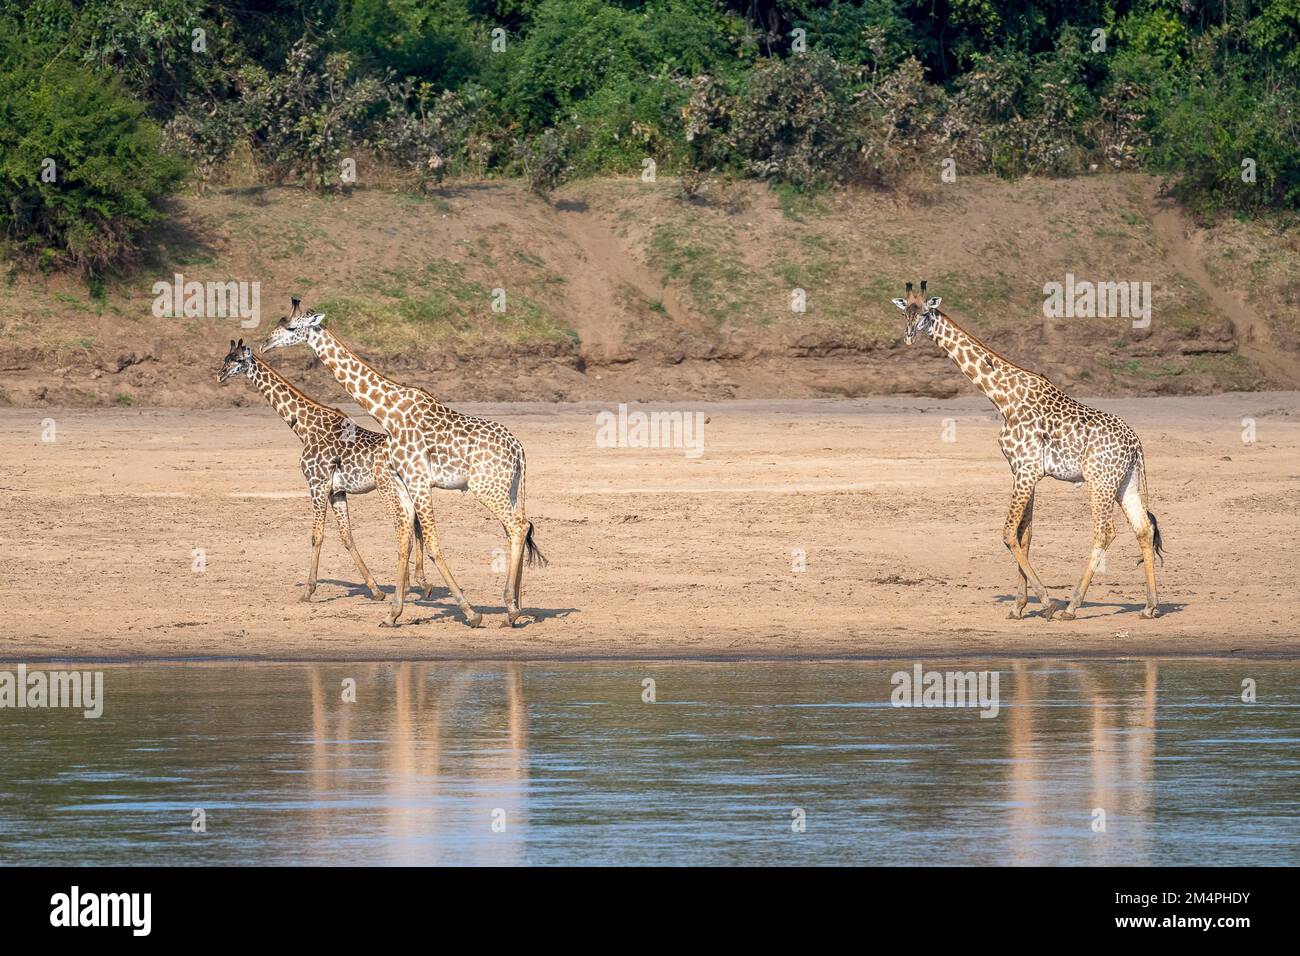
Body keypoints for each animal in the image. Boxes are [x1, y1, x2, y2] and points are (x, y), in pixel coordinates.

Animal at [215, 340, 434, 600]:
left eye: (238, 360)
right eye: (225, 358)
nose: (219, 375)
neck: (305, 427)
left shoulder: (316, 483)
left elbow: (316, 535)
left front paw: (308, 591)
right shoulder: (335, 491)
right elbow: (346, 536)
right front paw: (375, 589)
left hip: (388, 487)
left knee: (405, 525)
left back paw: (412, 585)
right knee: (416, 524)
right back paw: (421, 583)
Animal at [261, 300, 546, 629]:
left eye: (291, 327)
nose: (264, 344)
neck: (387, 413)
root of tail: (519, 449)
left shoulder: (418, 478)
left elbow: (431, 543)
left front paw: (470, 613)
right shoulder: (402, 481)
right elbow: (404, 539)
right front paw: (393, 613)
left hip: (485, 486)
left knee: (519, 526)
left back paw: (511, 608)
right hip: (507, 487)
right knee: (517, 528)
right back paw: (514, 608)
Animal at [894, 278, 1170, 621]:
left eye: (925, 314)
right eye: (905, 313)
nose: (909, 336)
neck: (1003, 398)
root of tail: (1136, 444)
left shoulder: (1025, 470)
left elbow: (1008, 533)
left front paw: (1046, 602)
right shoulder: (1025, 471)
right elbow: (1024, 535)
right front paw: (1018, 605)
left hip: (1100, 481)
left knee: (1105, 531)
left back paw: (1072, 606)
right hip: (1125, 481)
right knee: (1144, 528)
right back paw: (1150, 606)